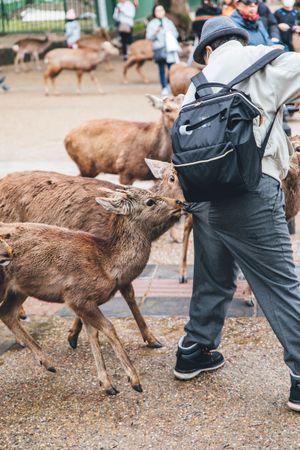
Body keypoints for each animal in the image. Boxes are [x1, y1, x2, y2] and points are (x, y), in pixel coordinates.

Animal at [0, 188, 183, 396]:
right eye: (150, 201)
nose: (179, 202)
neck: (107, 265)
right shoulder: (76, 296)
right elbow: (109, 328)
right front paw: (134, 380)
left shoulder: (87, 302)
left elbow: (93, 334)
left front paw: (107, 384)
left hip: (19, 289)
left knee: (6, 312)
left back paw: (48, 363)